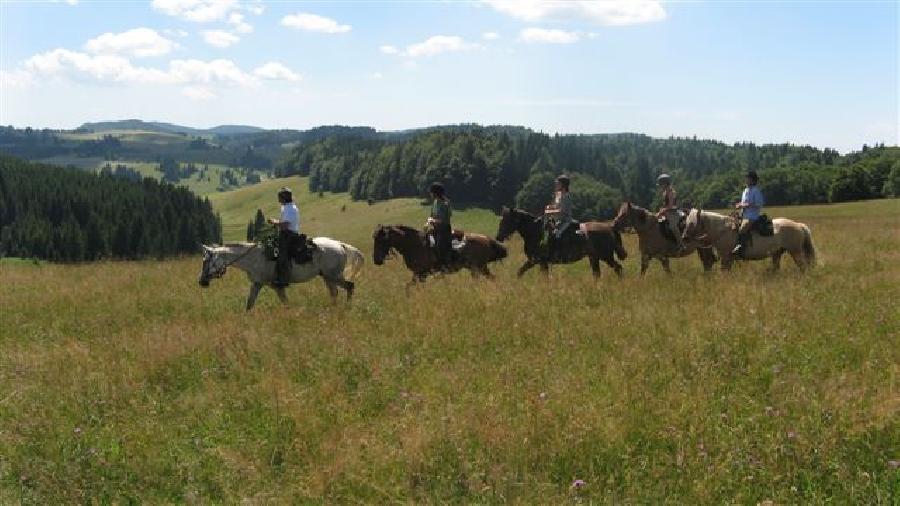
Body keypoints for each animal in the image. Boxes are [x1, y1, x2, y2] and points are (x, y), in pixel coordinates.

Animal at [199, 236, 364, 310]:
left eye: (206, 261)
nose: (201, 281)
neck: (254, 258)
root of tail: (340, 245)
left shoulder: (272, 285)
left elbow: (285, 303)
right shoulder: (259, 284)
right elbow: (250, 303)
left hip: (334, 276)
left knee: (350, 286)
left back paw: (347, 307)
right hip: (328, 277)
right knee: (334, 292)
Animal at [370, 225, 506, 288]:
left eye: (380, 241)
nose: (376, 260)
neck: (415, 244)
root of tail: (487, 239)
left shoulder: (421, 274)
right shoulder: (418, 275)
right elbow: (408, 287)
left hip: (477, 268)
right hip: (480, 268)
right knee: (492, 278)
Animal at [492, 207, 624, 280]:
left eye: (506, 221)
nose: (498, 237)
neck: (535, 232)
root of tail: (609, 228)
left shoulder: (539, 261)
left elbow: (542, 277)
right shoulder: (534, 261)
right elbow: (520, 272)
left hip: (605, 256)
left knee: (618, 268)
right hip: (594, 257)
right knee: (597, 273)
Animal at [684, 209, 816, 272]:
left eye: (692, 223)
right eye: (686, 221)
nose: (684, 237)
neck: (723, 230)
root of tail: (799, 225)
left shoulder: (726, 257)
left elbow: (724, 272)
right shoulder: (729, 259)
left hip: (795, 252)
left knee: (803, 267)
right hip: (777, 253)